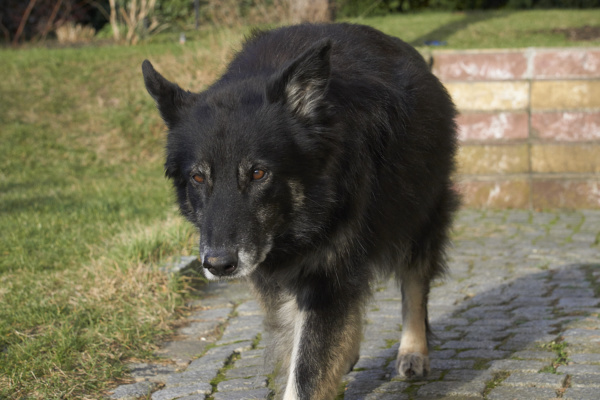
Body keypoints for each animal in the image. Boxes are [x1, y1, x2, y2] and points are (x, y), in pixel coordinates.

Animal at [142, 23, 459, 400]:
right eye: (198, 176)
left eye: (258, 173)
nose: (217, 265)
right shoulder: (278, 278)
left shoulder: (326, 274)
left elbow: (307, 368)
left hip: (419, 216)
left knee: (414, 284)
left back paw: (413, 350)